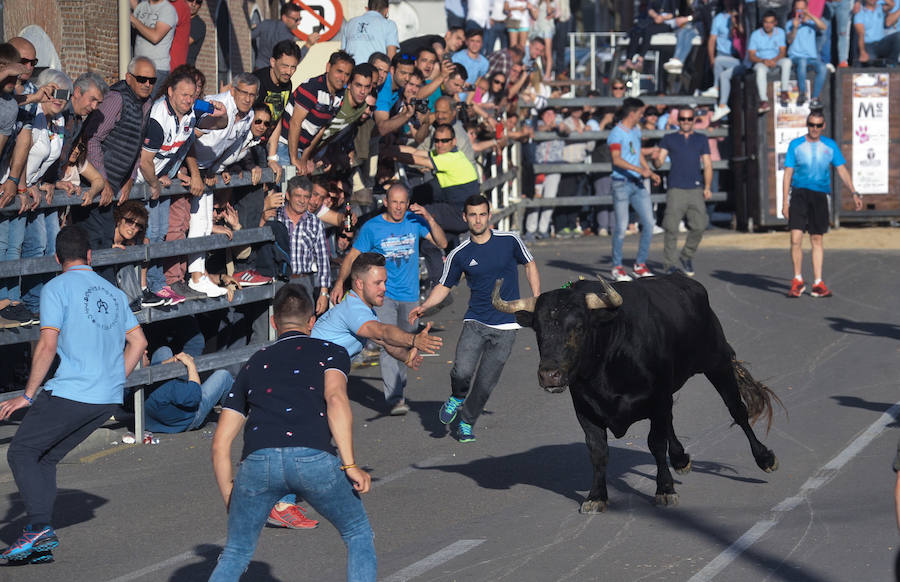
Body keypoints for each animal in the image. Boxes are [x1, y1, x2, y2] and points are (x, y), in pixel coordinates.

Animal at [492, 276, 780, 512]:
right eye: (538, 330)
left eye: (579, 327)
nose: (549, 375)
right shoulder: (585, 409)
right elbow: (598, 450)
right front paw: (596, 497)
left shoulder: (658, 397)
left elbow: (656, 443)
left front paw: (665, 490)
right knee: (671, 422)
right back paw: (680, 459)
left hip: (716, 362)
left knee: (737, 410)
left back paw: (765, 458)